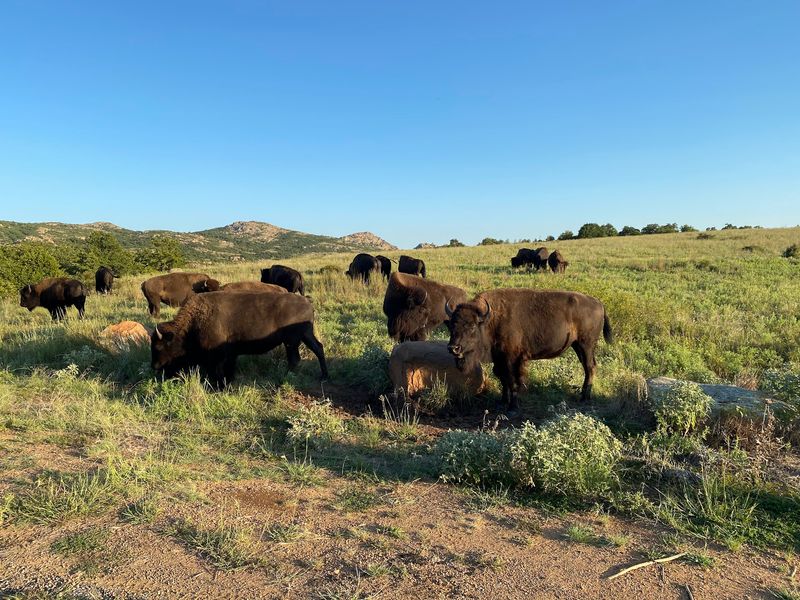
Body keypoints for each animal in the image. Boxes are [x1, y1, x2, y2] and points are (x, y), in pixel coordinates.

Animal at [151, 291, 328, 387]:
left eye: (159, 347)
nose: (155, 366)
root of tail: (307, 302)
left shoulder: (218, 356)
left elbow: (218, 371)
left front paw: (219, 386)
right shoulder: (231, 355)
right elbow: (229, 369)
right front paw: (229, 382)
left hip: (292, 341)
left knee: (295, 358)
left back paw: (285, 378)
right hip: (304, 336)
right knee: (317, 348)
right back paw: (323, 376)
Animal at [446, 289, 612, 415]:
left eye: (472, 326)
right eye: (452, 325)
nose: (453, 348)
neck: (491, 319)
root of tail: (599, 303)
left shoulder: (511, 359)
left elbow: (512, 380)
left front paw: (513, 408)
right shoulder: (499, 359)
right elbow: (502, 378)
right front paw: (502, 401)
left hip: (586, 345)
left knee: (590, 367)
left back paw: (585, 397)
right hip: (577, 346)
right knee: (588, 367)